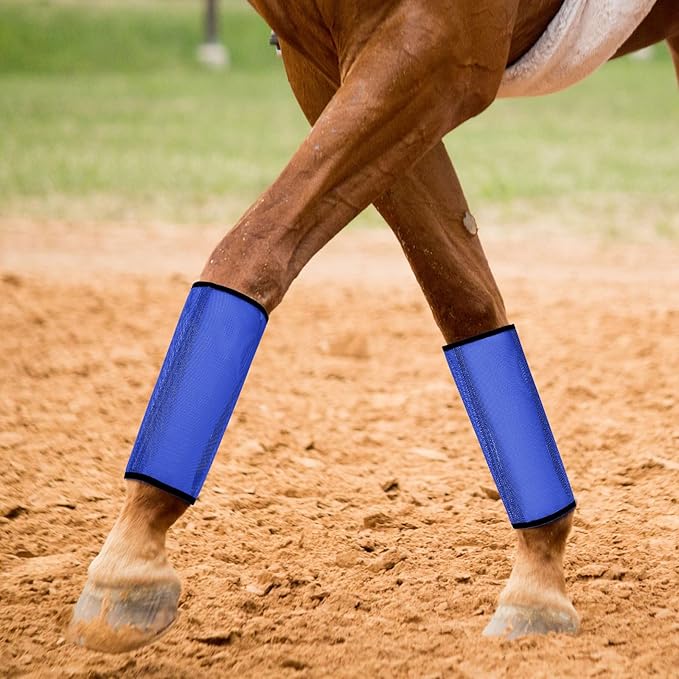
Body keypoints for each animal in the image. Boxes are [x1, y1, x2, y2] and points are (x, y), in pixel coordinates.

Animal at [68, 0, 679, 654]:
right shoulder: (326, 68)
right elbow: (462, 299)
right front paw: (538, 578)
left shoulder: (435, 51)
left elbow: (253, 248)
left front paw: (131, 560)